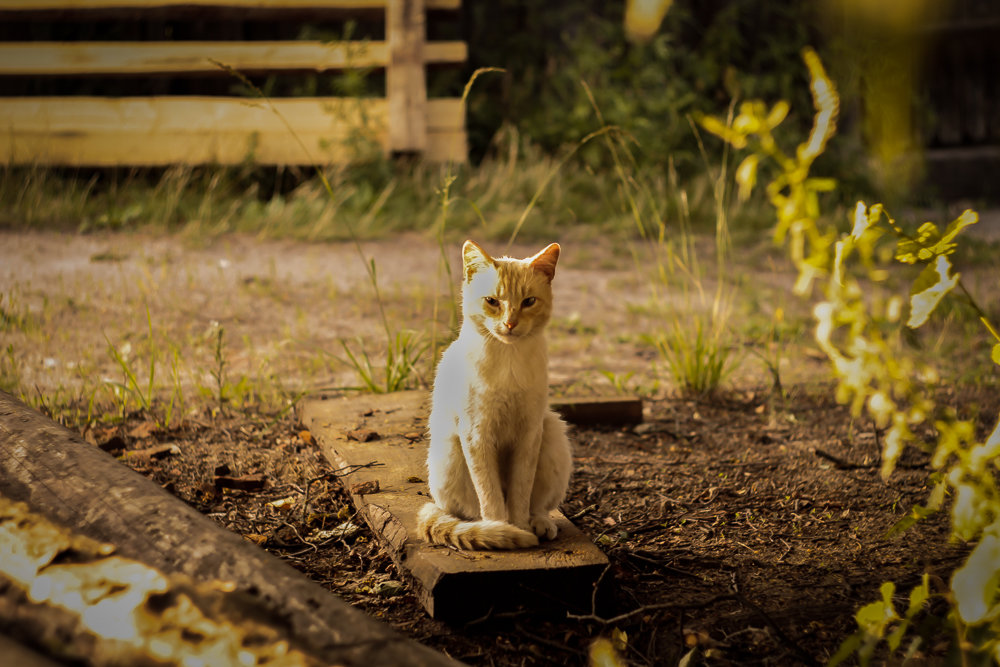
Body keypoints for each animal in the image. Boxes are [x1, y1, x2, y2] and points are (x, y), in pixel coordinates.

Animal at [414, 241, 572, 552]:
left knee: (538, 507)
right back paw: (489, 529)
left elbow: (521, 493)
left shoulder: (529, 434)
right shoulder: (477, 435)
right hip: (450, 454)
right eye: (492, 301)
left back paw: (540, 525)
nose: (510, 324)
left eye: (528, 302)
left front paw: (519, 527)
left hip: (552, 433)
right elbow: (491, 496)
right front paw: (503, 529)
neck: (509, 361)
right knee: (469, 514)